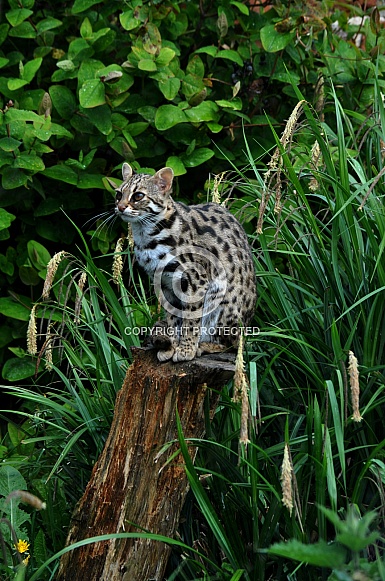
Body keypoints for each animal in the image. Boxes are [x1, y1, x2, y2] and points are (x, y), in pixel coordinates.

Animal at [109, 163, 255, 360]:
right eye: (118, 194)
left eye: (138, 196)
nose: (120, 206)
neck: (146, 236)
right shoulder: (165, 282)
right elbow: (174, 317)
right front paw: (172, 346)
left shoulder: (196, 279)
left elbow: (190, 318)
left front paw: (186, 349)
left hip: (224, 303)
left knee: (234, 344)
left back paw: (205, 345)